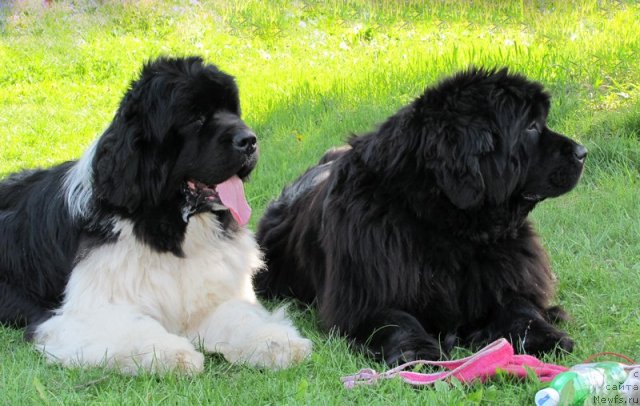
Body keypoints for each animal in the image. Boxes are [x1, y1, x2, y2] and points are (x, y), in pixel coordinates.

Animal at [0, 57, 310, 374]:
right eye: (196, 118)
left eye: (232, 111)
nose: (249, 140)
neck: (170, 230)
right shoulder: (80, 314)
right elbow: (135, 326)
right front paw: (174, 353)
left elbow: (239, 316)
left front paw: (276, 342)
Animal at [255, 67, 584, 364]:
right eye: (531, 126)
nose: (582, 152)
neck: (449, 228)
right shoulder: (368, 295)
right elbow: (398, 320)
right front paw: (416, 351)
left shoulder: (504, 279)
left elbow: (519, 307)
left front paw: (545, 336)